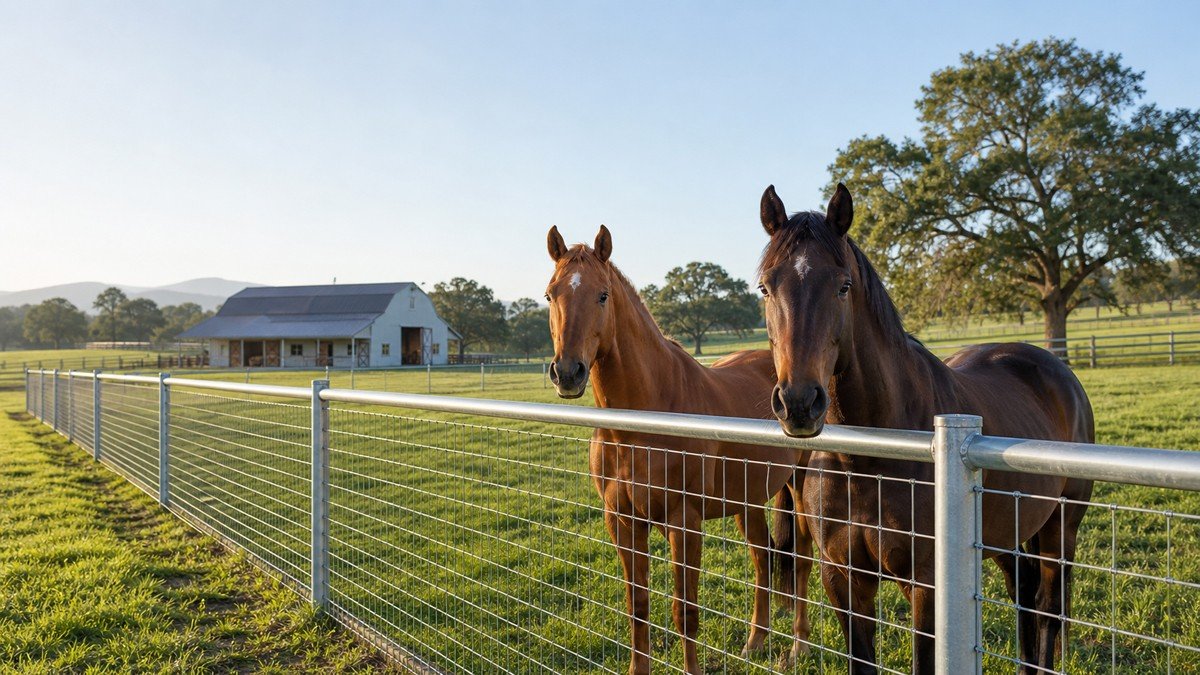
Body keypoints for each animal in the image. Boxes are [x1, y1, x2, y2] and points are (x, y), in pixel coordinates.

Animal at [545, 225, 813, 674]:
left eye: (602, 295)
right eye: (550, 294)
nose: (567, 373)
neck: (646, 419)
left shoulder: (683, 522)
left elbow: (684, 611)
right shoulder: (622, 520)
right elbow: (637, 605)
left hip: (801, 486)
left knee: (804, 560)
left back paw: (797, 649)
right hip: (747, 501)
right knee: (762, 559)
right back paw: (755, 642)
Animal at [754, 184, 1094, 674]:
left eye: (843, 286)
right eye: (765, 287)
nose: (799, 403)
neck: (868, 460)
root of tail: (1057, 370)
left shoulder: (926, 584)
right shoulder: (842, 578)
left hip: (1060, 528)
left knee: (1049, 608)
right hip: (1007, 534)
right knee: (1025, 593)